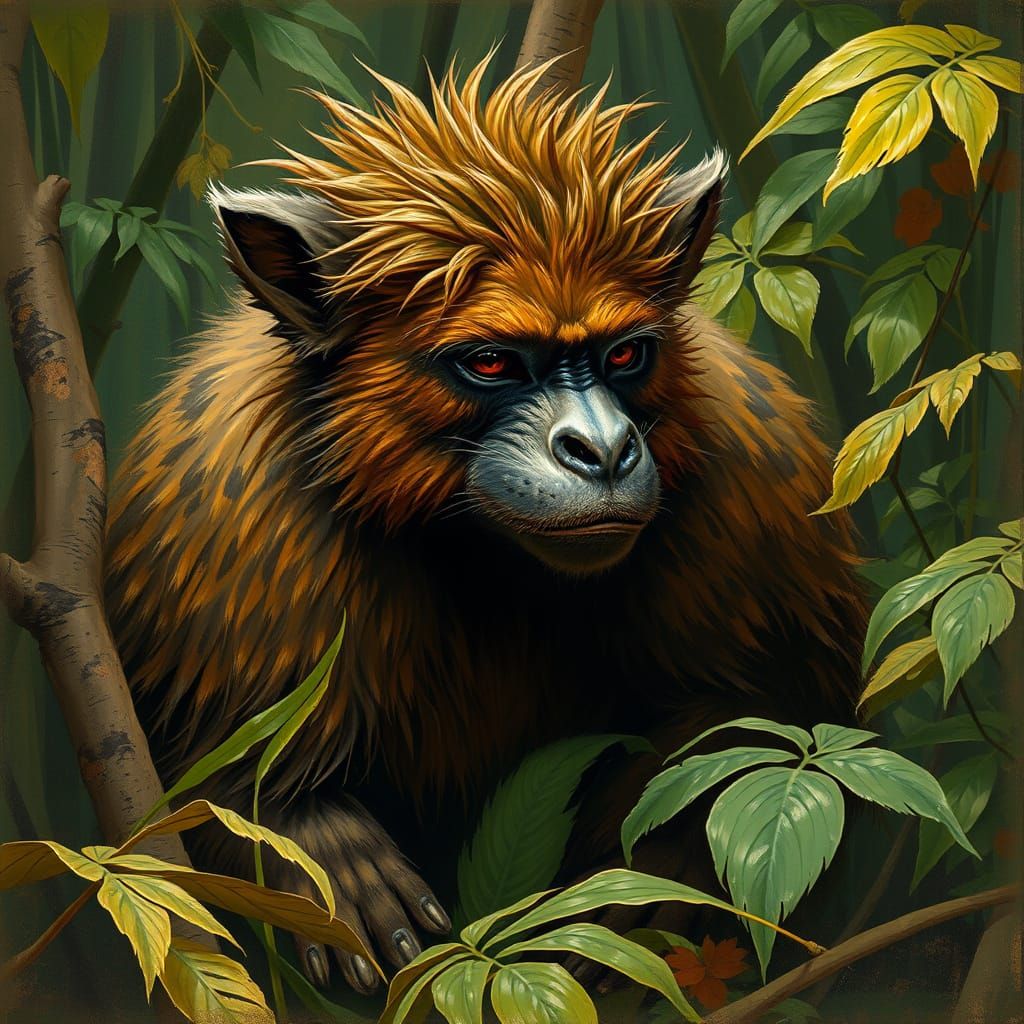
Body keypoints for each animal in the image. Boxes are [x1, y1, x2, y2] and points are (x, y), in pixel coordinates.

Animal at [105, 58, 866, 995]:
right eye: (493, 362)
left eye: (624, 355)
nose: (603, 450)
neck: (478, 549)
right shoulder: (242, 522)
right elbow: (213, 776)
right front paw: (319, 843)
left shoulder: (751, 488)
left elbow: (763, 714)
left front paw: (656, 859)